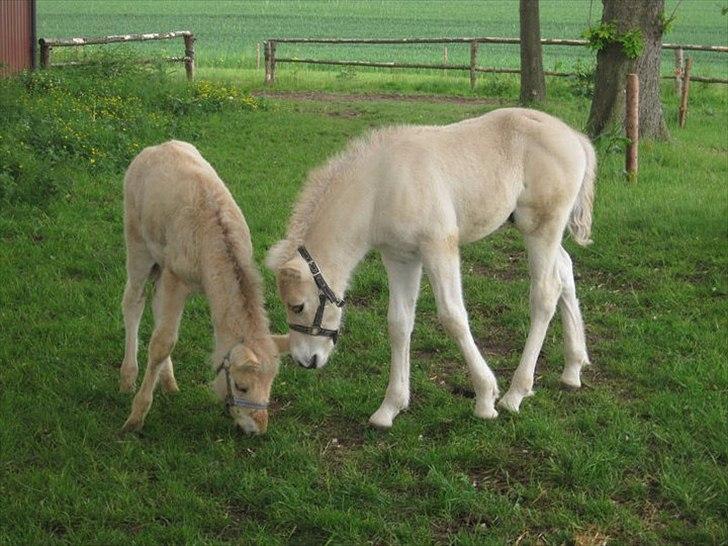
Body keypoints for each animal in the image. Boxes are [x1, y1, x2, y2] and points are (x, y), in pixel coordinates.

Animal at [118, 140, 286, 434]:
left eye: (270, 384)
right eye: (241, 386)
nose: (258, 429)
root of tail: (156, 146)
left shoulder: (172, 276)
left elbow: (164, 333)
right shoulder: (176, 277)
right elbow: (162, 342)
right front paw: (136, 417)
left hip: (162, 260)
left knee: (155, 307)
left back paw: (169, 382)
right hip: (137, 239)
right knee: (134, 301)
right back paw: (127, 377)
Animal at [264, 108, 596, 428]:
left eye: (297, 306)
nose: (305, 359)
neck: (381, 187)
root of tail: (574, 137)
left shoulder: (439, 246)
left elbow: (453, 316)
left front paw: (485, 398)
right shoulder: (400, 256)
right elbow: (399, 323)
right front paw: (389, 408)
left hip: (541, 227)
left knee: (545, 292)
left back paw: (516, 393)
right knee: (565, 270)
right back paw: (573, 368)